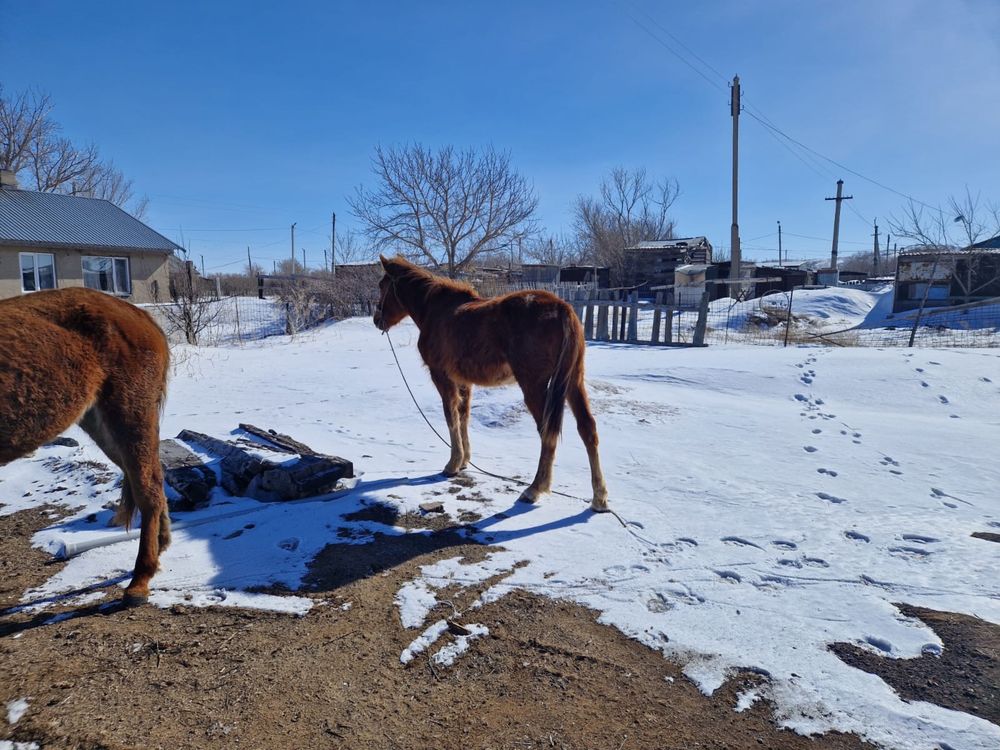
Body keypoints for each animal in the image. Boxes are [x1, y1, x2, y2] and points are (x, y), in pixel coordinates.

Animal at [0, 284, 171, 608]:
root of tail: (140, 316)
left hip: (129, 414)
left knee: (148, 489)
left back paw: (140, 581)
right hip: (100, 423)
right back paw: (161, 547)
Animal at [376, 256, 608, 516]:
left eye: (382, 285)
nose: (377, 320)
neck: (435, 309)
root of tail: (562, 308)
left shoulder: (442, 377)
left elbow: (450, 417)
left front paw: (452, 464)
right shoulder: (464, 382)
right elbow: (463, 417)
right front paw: (465, 460)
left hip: (535, 386)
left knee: (547, 432)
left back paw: (535, 488)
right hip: (573, 382)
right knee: (587, 429)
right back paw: (599, 498)